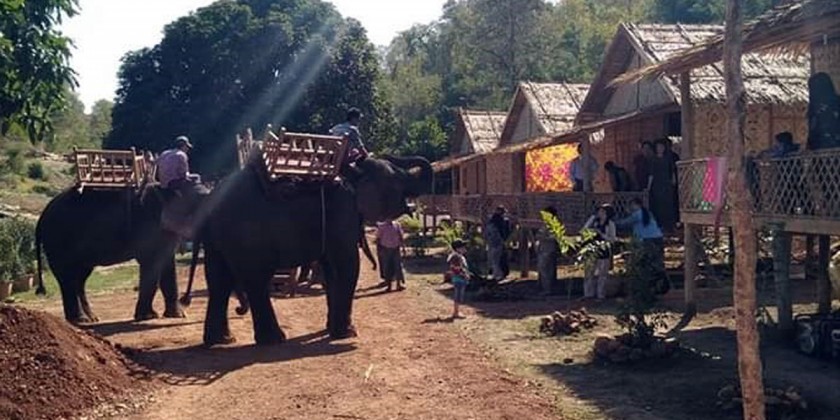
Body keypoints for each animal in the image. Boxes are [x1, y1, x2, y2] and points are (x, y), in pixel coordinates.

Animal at [35, 186, 188, 323]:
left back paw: (91, 318)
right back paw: (80, 320)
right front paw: (148, 317)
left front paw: (177, 315)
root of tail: (42, 216)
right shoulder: (148, 229)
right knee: (68, 277)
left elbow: (167, 264)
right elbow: (152, 263)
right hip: (57, 241)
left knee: (79, 278)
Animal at [200, 155, 432, 346]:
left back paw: (222, 340)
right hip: (246, 236)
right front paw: (347, 334)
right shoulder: (342, 212)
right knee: (255, 280)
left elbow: (332, 270)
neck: (353, 173)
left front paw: (332, 330)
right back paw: (273, 339)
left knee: (219, 281)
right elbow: (347, 265)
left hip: (218, 240)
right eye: (398, 179)